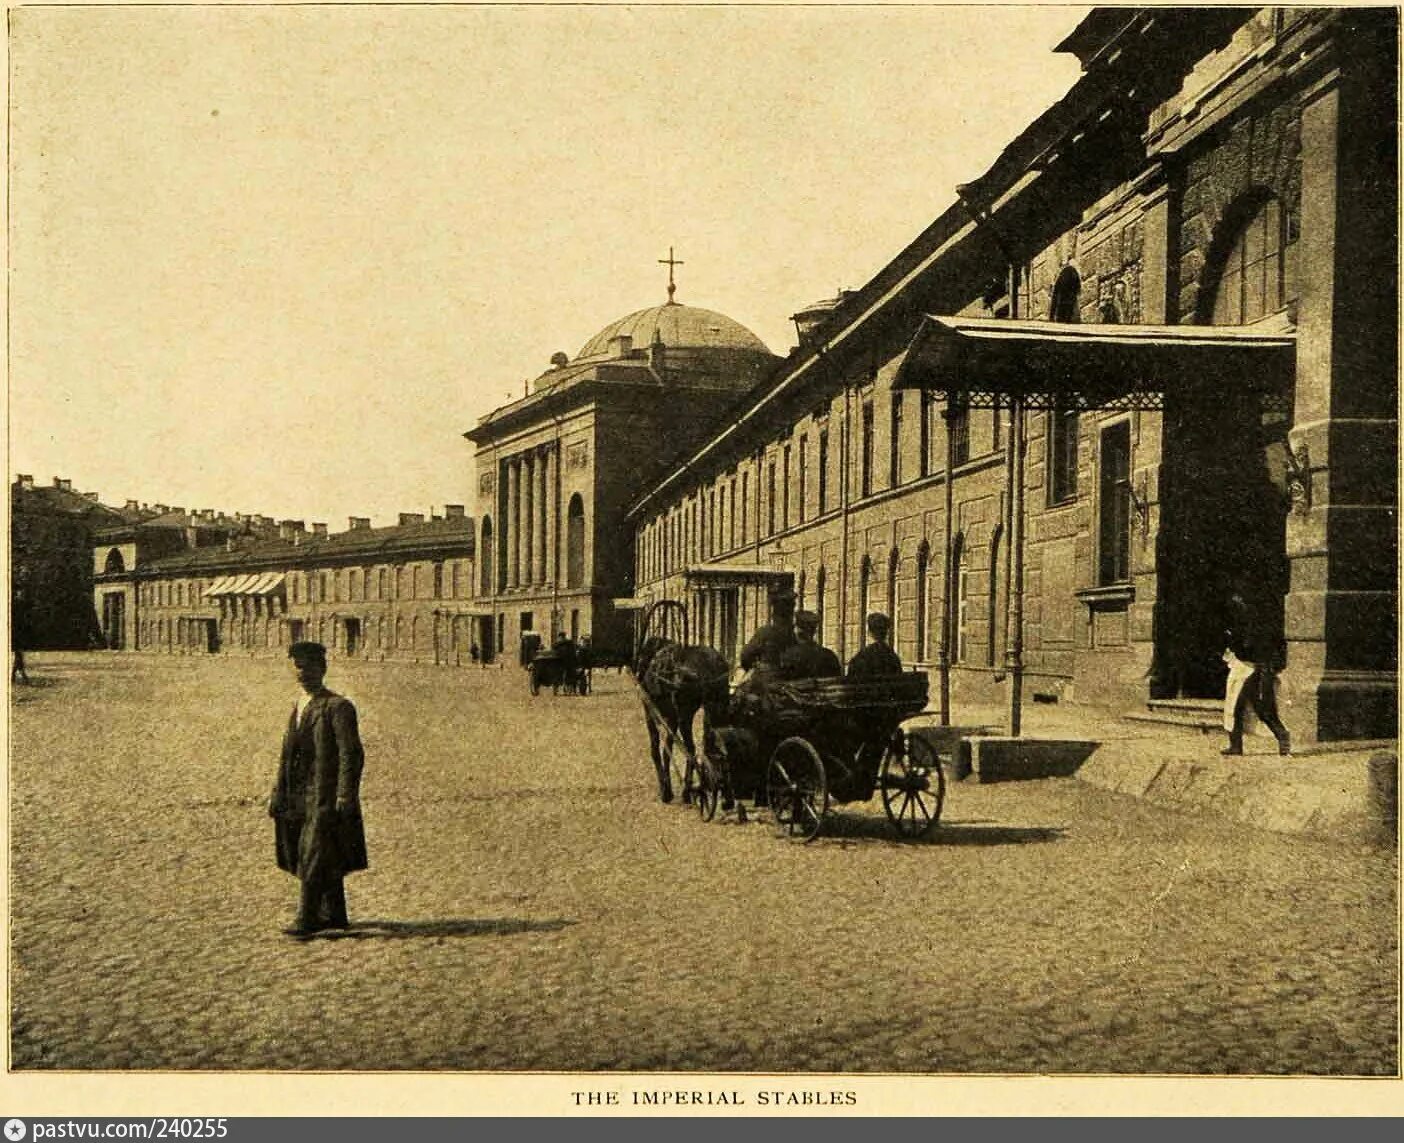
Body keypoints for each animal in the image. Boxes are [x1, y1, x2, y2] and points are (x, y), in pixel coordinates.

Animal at [631, 634, 730, 803]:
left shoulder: (654, 715)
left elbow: (658, 750)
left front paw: (665, 791)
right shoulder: (672, 719)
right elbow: (667, 748)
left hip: (685, 716)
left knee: (690, 748)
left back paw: (686, 792)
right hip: (714, 711)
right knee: (711, 747)